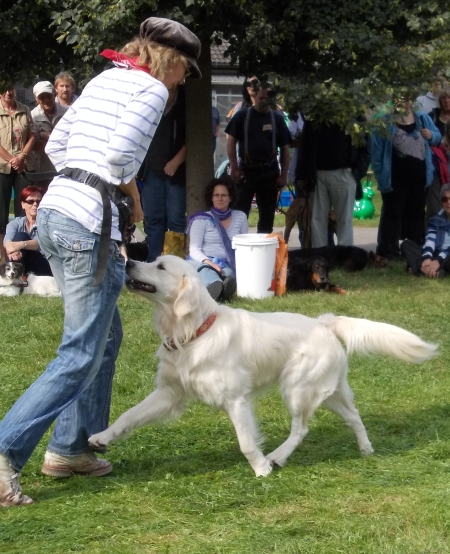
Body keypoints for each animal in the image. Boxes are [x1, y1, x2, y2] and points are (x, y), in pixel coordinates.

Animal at [89, 256, 438, 477]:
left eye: (160, 266)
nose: (128, 261)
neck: (193, 331)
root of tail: (324, 322)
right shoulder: (170, 393)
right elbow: (129, 415)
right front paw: (101, 437)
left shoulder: (236, 400)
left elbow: (245, 441)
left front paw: (260, 469)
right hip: (327, 392)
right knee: (354, 416)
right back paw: (365, 449)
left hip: (297, 388)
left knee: (301, 428)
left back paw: (277, 458)